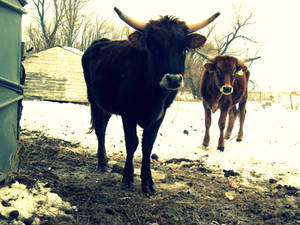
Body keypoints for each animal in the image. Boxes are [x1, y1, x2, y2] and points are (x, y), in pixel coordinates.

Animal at [82, 7, 220, 192]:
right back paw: (102, 162)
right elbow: (132, 142)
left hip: (107, 105)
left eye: (184, 48)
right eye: (154, 46)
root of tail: (99, 42)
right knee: (100, 129)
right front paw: (127, 177)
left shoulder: (160, 114)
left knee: (103, 125)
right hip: (94, 101)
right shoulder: (128, 113)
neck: (152, 95)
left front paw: (147, 181)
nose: (173, 79)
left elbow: (148, 144)